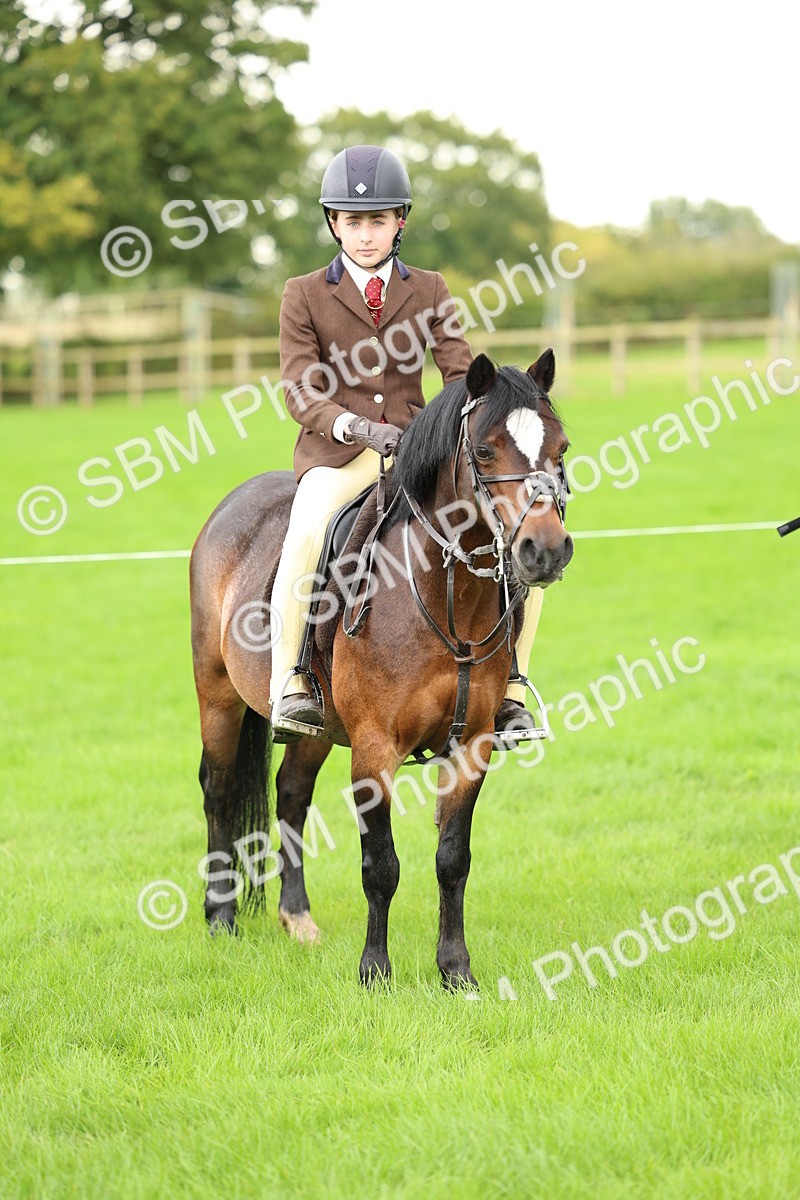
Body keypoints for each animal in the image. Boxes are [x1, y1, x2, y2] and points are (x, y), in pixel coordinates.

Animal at [189, 350, 573, 989]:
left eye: (561, 449)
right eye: (485, 451)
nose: (544, 551)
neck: (444, 594)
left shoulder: (471, 746)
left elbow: (452, 860)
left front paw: (456, 971)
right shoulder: (374, 748)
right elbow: (381, 865)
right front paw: (375, 972)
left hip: (317, 730)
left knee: (291, 794)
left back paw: (298, 920)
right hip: (217, 694)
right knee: (219, 791)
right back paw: (220, 919)